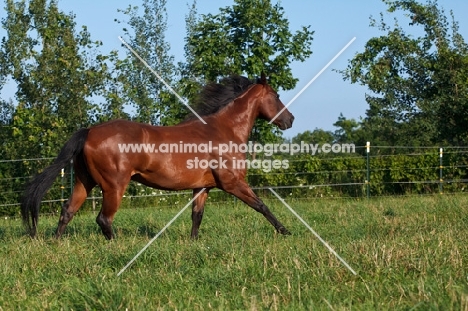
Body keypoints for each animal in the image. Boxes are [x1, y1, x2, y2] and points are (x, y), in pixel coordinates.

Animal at [22, 75, 294, 241]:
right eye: (276, 95)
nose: (290, 120)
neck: (224, 129)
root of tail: (89, 131)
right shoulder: (233, 182)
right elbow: (262, 205)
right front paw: (285, 231)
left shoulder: (202, 187)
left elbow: (197, 216)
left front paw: (194, 243)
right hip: (114, 186)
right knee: (103, 219)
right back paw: (116, 244)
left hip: (84, 182)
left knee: (67, 211)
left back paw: (56, 243)